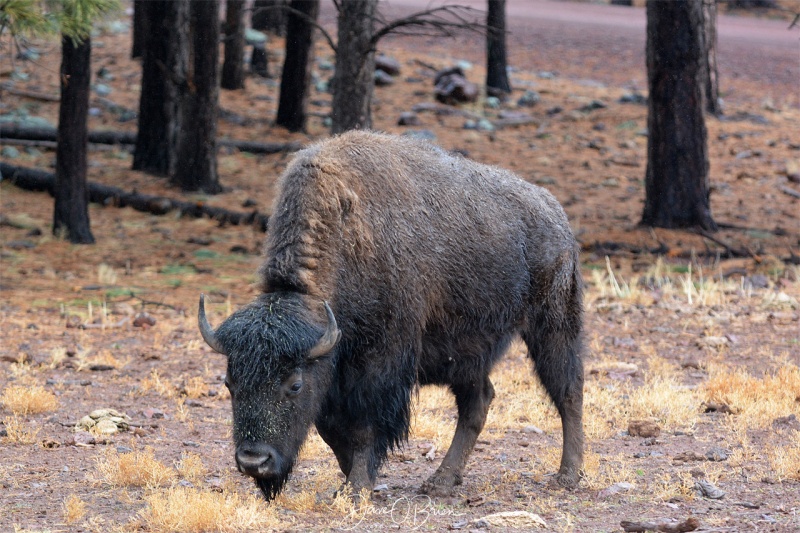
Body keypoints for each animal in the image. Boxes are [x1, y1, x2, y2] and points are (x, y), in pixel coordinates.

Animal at [197, 129, 584, 498]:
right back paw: (441, 481)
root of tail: (556, 214)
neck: (345, 234)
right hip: (467, 352)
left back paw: (567, 476)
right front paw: (352, 479)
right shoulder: (333, 373)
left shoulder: (380, 364)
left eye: (294, 384)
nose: (253, 461)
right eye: (229, 383)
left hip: (553, 323)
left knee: (568, 390)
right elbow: (331, 430)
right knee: (478, 402)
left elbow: (366, 427)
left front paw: (357, 487)